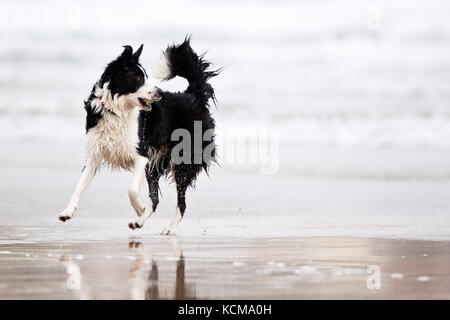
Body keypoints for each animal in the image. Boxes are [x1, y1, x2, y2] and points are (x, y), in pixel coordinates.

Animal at [58, 38, 220, 235]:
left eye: (147, 78)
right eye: (139, 79)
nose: (159, 93)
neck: (115, 111)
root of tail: (193, 96)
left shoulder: (142, 155)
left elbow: (132, 190)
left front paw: (140, 208)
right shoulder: (94, 156)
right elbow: (78, 187)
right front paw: (67, 211)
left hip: (182, 161)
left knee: (180, 203)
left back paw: (164, 226)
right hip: (157, 165)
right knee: (157, 199)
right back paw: (142, 221)